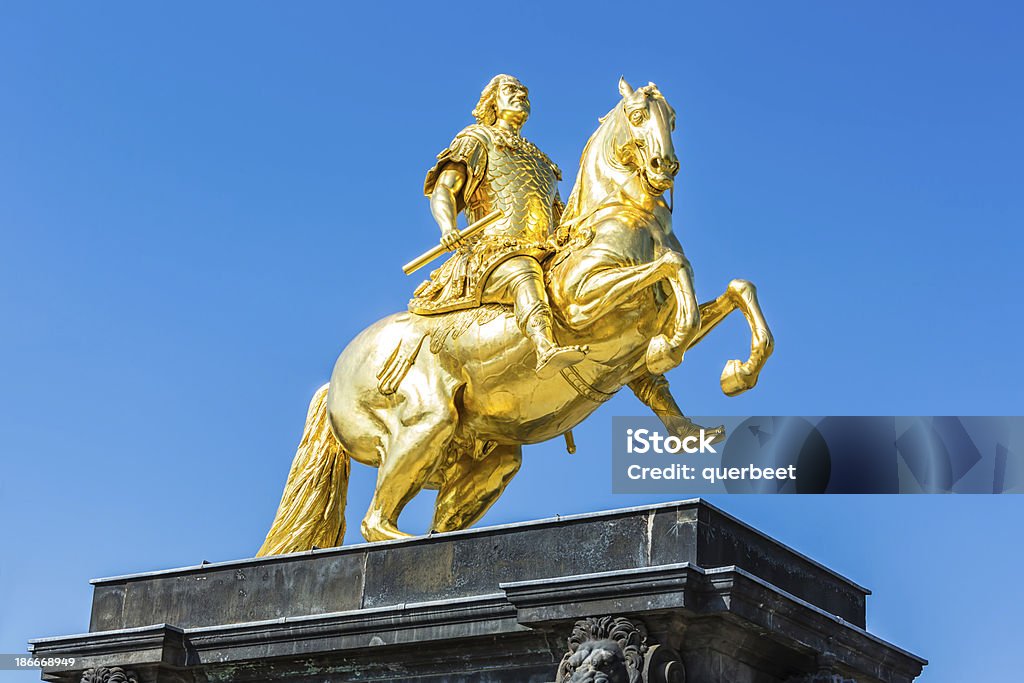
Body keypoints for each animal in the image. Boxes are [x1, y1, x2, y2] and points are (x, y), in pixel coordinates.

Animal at [260, 78, 770, 557]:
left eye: (674, 117)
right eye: (638, 114)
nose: (666, 166)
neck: (627, 218)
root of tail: (333, 380)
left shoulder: (645, 328)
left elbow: (736, 289)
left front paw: (736, 375)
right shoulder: (583, 302)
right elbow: (673, 269)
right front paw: (670, 350)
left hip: (486, 459)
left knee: (436, 520)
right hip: (423, 424)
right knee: (375, 523)